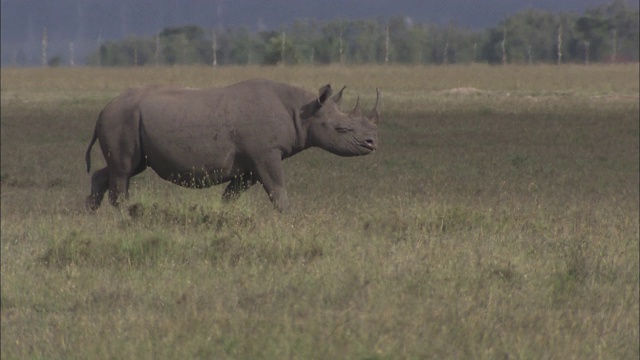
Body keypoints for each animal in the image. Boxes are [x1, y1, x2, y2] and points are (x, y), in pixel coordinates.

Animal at [87, 79, 382, 212]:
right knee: (123, 171)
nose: (373, 143)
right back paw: (126, 215)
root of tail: (103, 108)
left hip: (125, 119)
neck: (303, 112)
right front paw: (291, 219)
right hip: (121, 118)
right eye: (342, 129)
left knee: (121, 169)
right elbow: (278, 190)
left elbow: (231, 195)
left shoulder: (250, 164)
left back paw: (91, 214)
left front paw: (224, 216)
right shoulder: (266, 154)